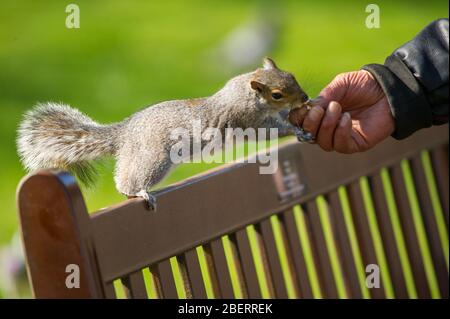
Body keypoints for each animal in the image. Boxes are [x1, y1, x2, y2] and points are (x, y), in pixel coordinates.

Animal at [18, 57, 312, 210]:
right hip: (154, 158)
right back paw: (138, 192)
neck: (245, 92)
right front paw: (297, 130)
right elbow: (269, 130)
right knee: (128, 180)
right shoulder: (247, 119)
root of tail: (125, 133)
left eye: (292, 75)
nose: (305, 97)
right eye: (277, 94)